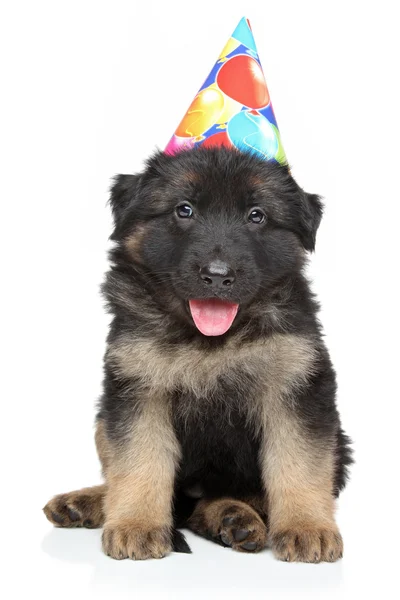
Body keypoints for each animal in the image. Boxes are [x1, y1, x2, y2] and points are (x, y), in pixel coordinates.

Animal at [42, 146, 352, 564]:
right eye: (184, 210)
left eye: (257, 215)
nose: (218, 276)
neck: (210, 341)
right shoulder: (138, 388)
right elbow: (139, 459)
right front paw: (137, 524)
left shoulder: (296, 387)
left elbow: (299, 461)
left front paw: (306, 527)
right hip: (102, 423)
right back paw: (90, 502)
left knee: (227, 499)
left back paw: (234, 517)